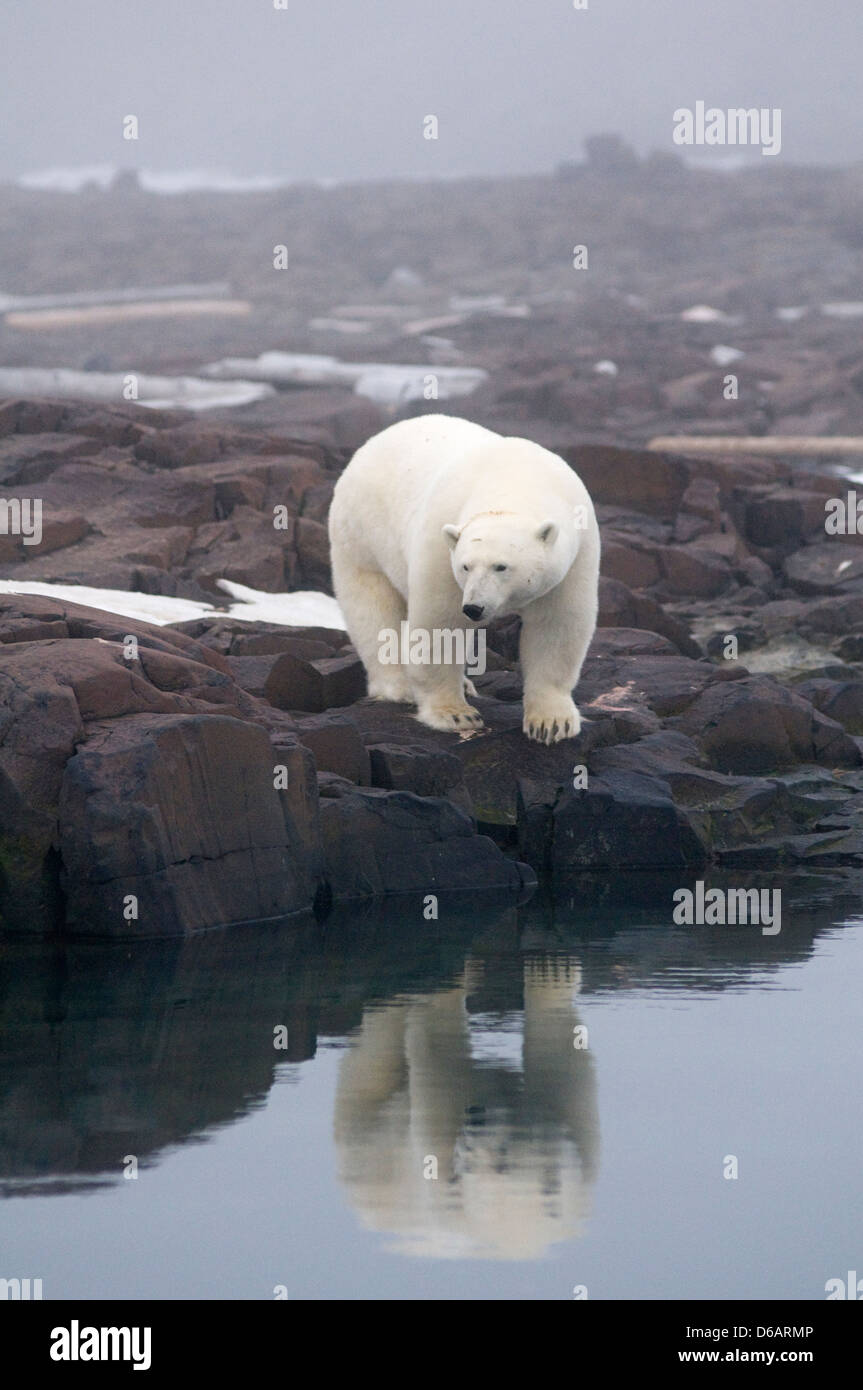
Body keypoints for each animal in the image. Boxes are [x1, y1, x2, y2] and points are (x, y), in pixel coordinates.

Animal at [327, 414, 600, 744]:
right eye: (465, 566)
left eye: (501, 566)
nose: (474, 607)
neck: (513, 482)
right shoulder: (440, 550)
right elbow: (440, 624)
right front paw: (454, 714)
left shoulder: (575, 557)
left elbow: (557, 626)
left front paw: (551, 723)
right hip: (361, 536)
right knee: (372, 609)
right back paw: (400, 685)